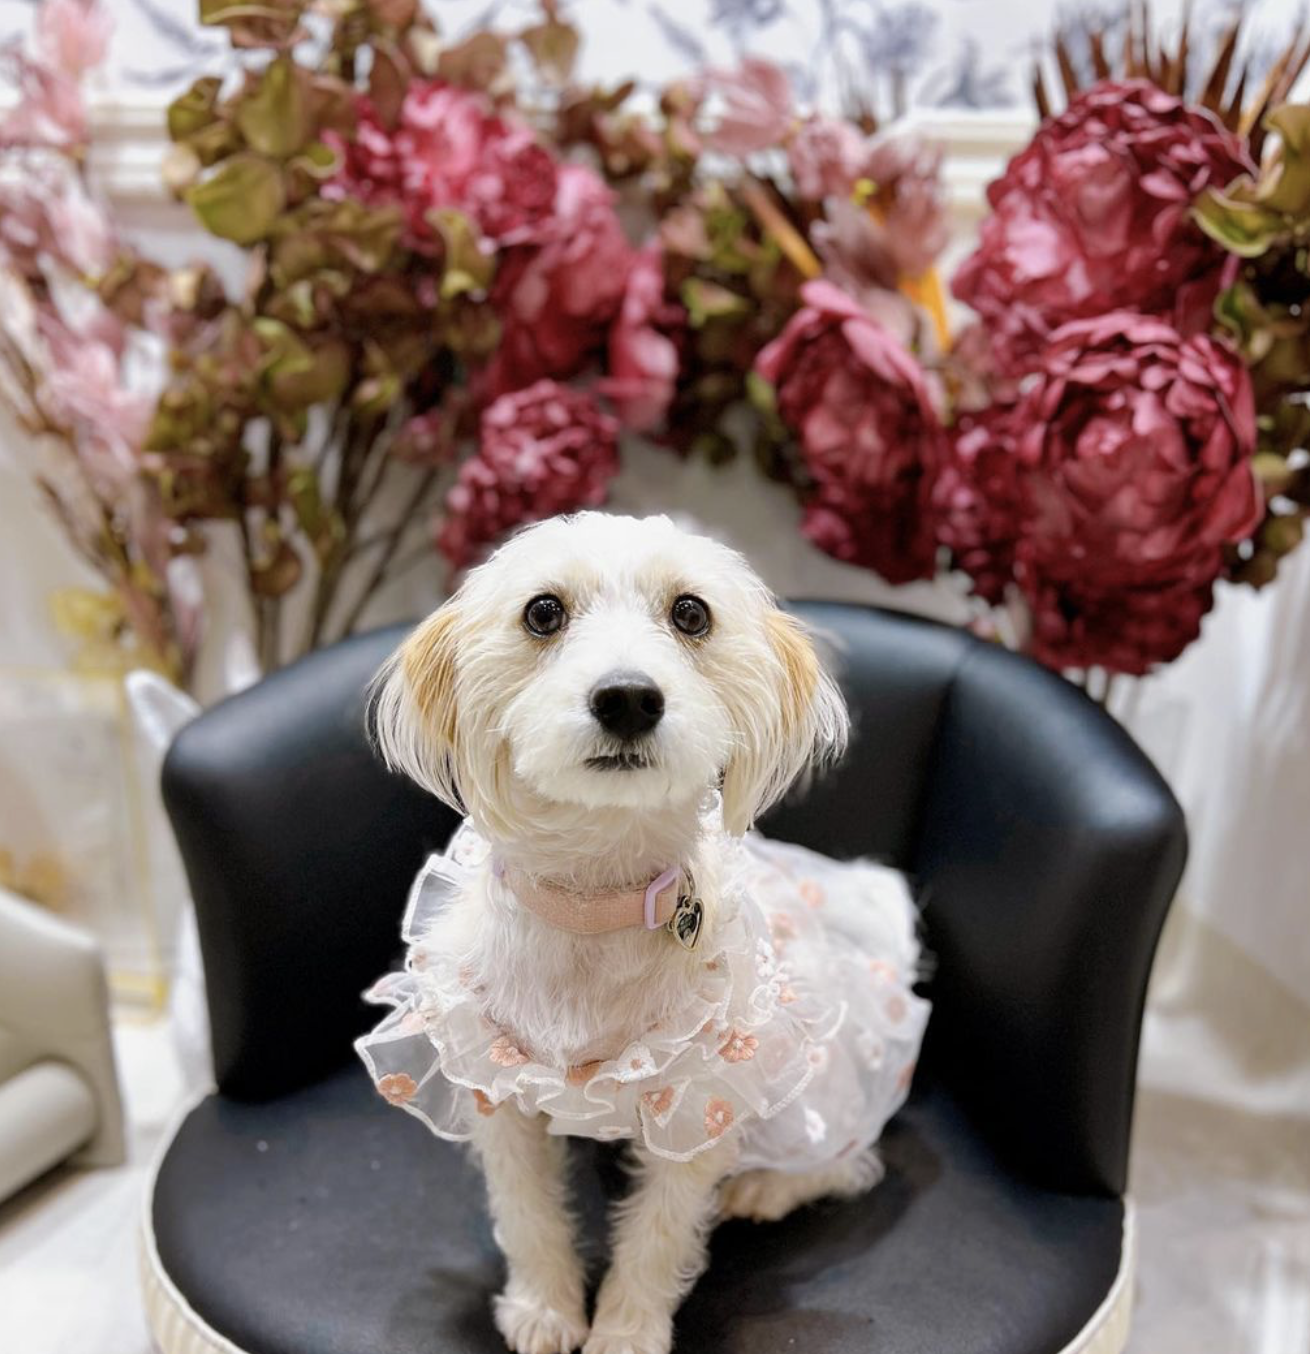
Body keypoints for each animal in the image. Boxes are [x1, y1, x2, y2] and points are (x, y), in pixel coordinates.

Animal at [357, 512, 929, 1354]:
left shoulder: (702, 1103)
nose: (626, 697)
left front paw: (625, 1330)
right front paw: (545, 1309)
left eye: (691, 613)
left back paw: (767, 1184)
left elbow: (659, 1232)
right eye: (543, 612)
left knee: (851, 1156)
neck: (596, 905)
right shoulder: (496, 1087)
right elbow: (527, 1213)